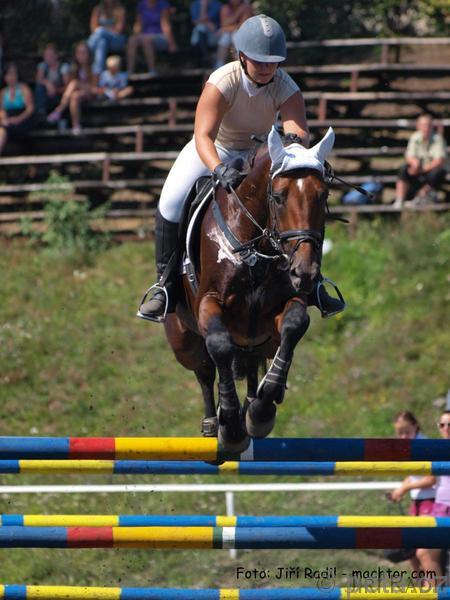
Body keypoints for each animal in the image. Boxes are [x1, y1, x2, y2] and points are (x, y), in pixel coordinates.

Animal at [164, 126, 336, 451]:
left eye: (323, 196)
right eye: (278, 197)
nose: (305, 272)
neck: (257, 246)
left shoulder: (287, 302)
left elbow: (293, 326)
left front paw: (261, 412)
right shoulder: (208, 302)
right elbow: (219, 344)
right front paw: (230, 428)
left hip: (258, 341)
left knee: (254, 363)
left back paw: (254, 406)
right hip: (182, 339)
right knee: (205, 368)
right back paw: (213, 423)